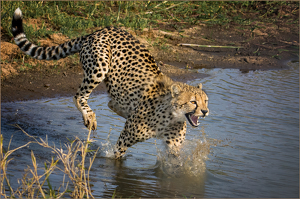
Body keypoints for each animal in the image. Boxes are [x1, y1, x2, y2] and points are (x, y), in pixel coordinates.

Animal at [11, 8, 209, 159]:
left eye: (206, 101)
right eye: (193, 101)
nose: (205, 111)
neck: (171, 114)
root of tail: (98, 31)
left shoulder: (173, 146)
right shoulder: (126, 137)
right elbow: (116, 156)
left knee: (110, 103)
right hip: (99, 67)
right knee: (79, 96)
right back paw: (90, 117)